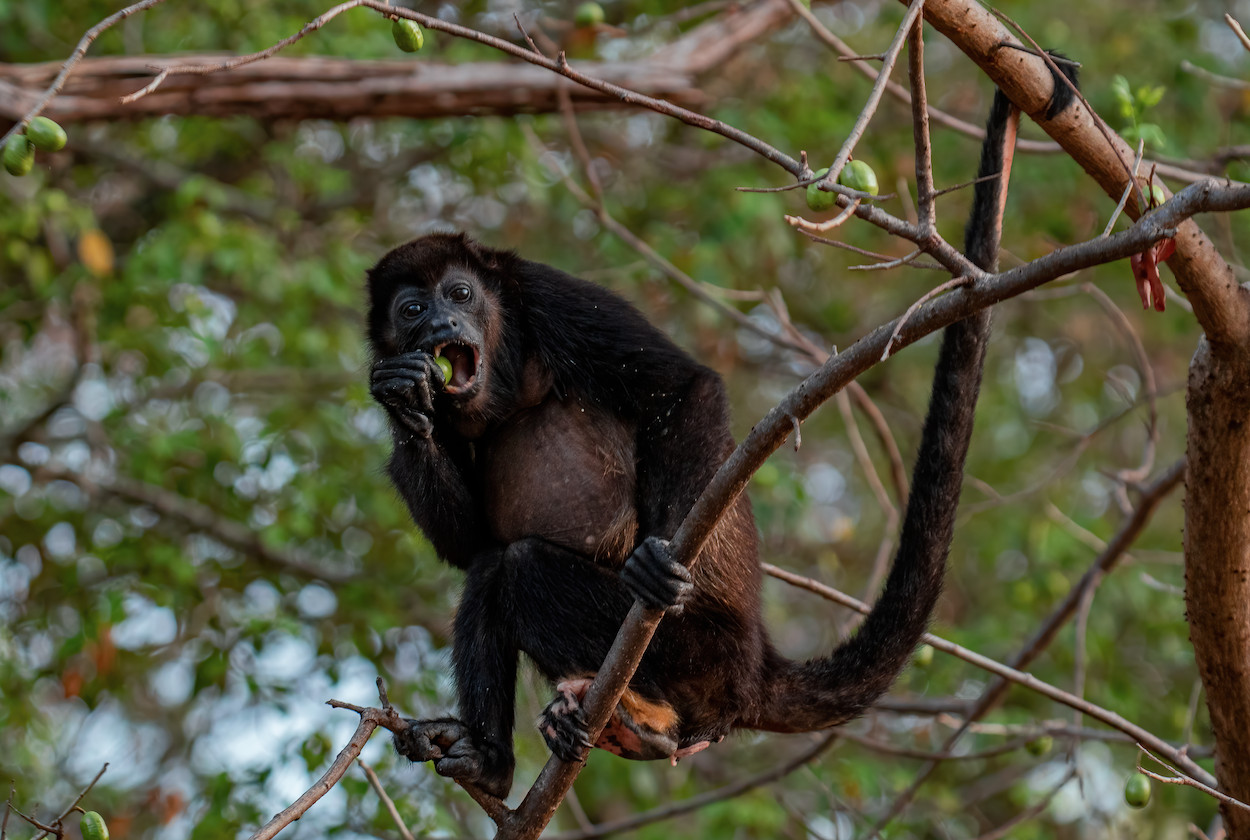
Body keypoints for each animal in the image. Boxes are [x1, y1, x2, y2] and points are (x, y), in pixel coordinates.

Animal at [366, 62, 1079, 799]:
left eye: (460, 294)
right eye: (412, 309)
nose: (441, 326)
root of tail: (754, 666)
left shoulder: (547, 297)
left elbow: (684, 388)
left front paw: (657, 562)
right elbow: (466, 542)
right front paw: (400, 398)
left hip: (704, 658)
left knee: (519, 567)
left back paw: (645, 711)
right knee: (489, 569)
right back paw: (493, 760)